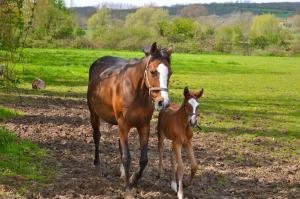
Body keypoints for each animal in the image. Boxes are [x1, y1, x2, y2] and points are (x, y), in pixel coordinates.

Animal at [86, 42, 172, 197]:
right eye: (152, 72)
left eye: (170, 73)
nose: (163, 102)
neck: (135, 90)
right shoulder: (124, 125)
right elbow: (126, 157)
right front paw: (127, 189)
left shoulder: (144, 126)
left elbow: (144, 159)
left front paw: (133, 179)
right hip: (94, 114)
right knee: (97, 137)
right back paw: (98, 166)